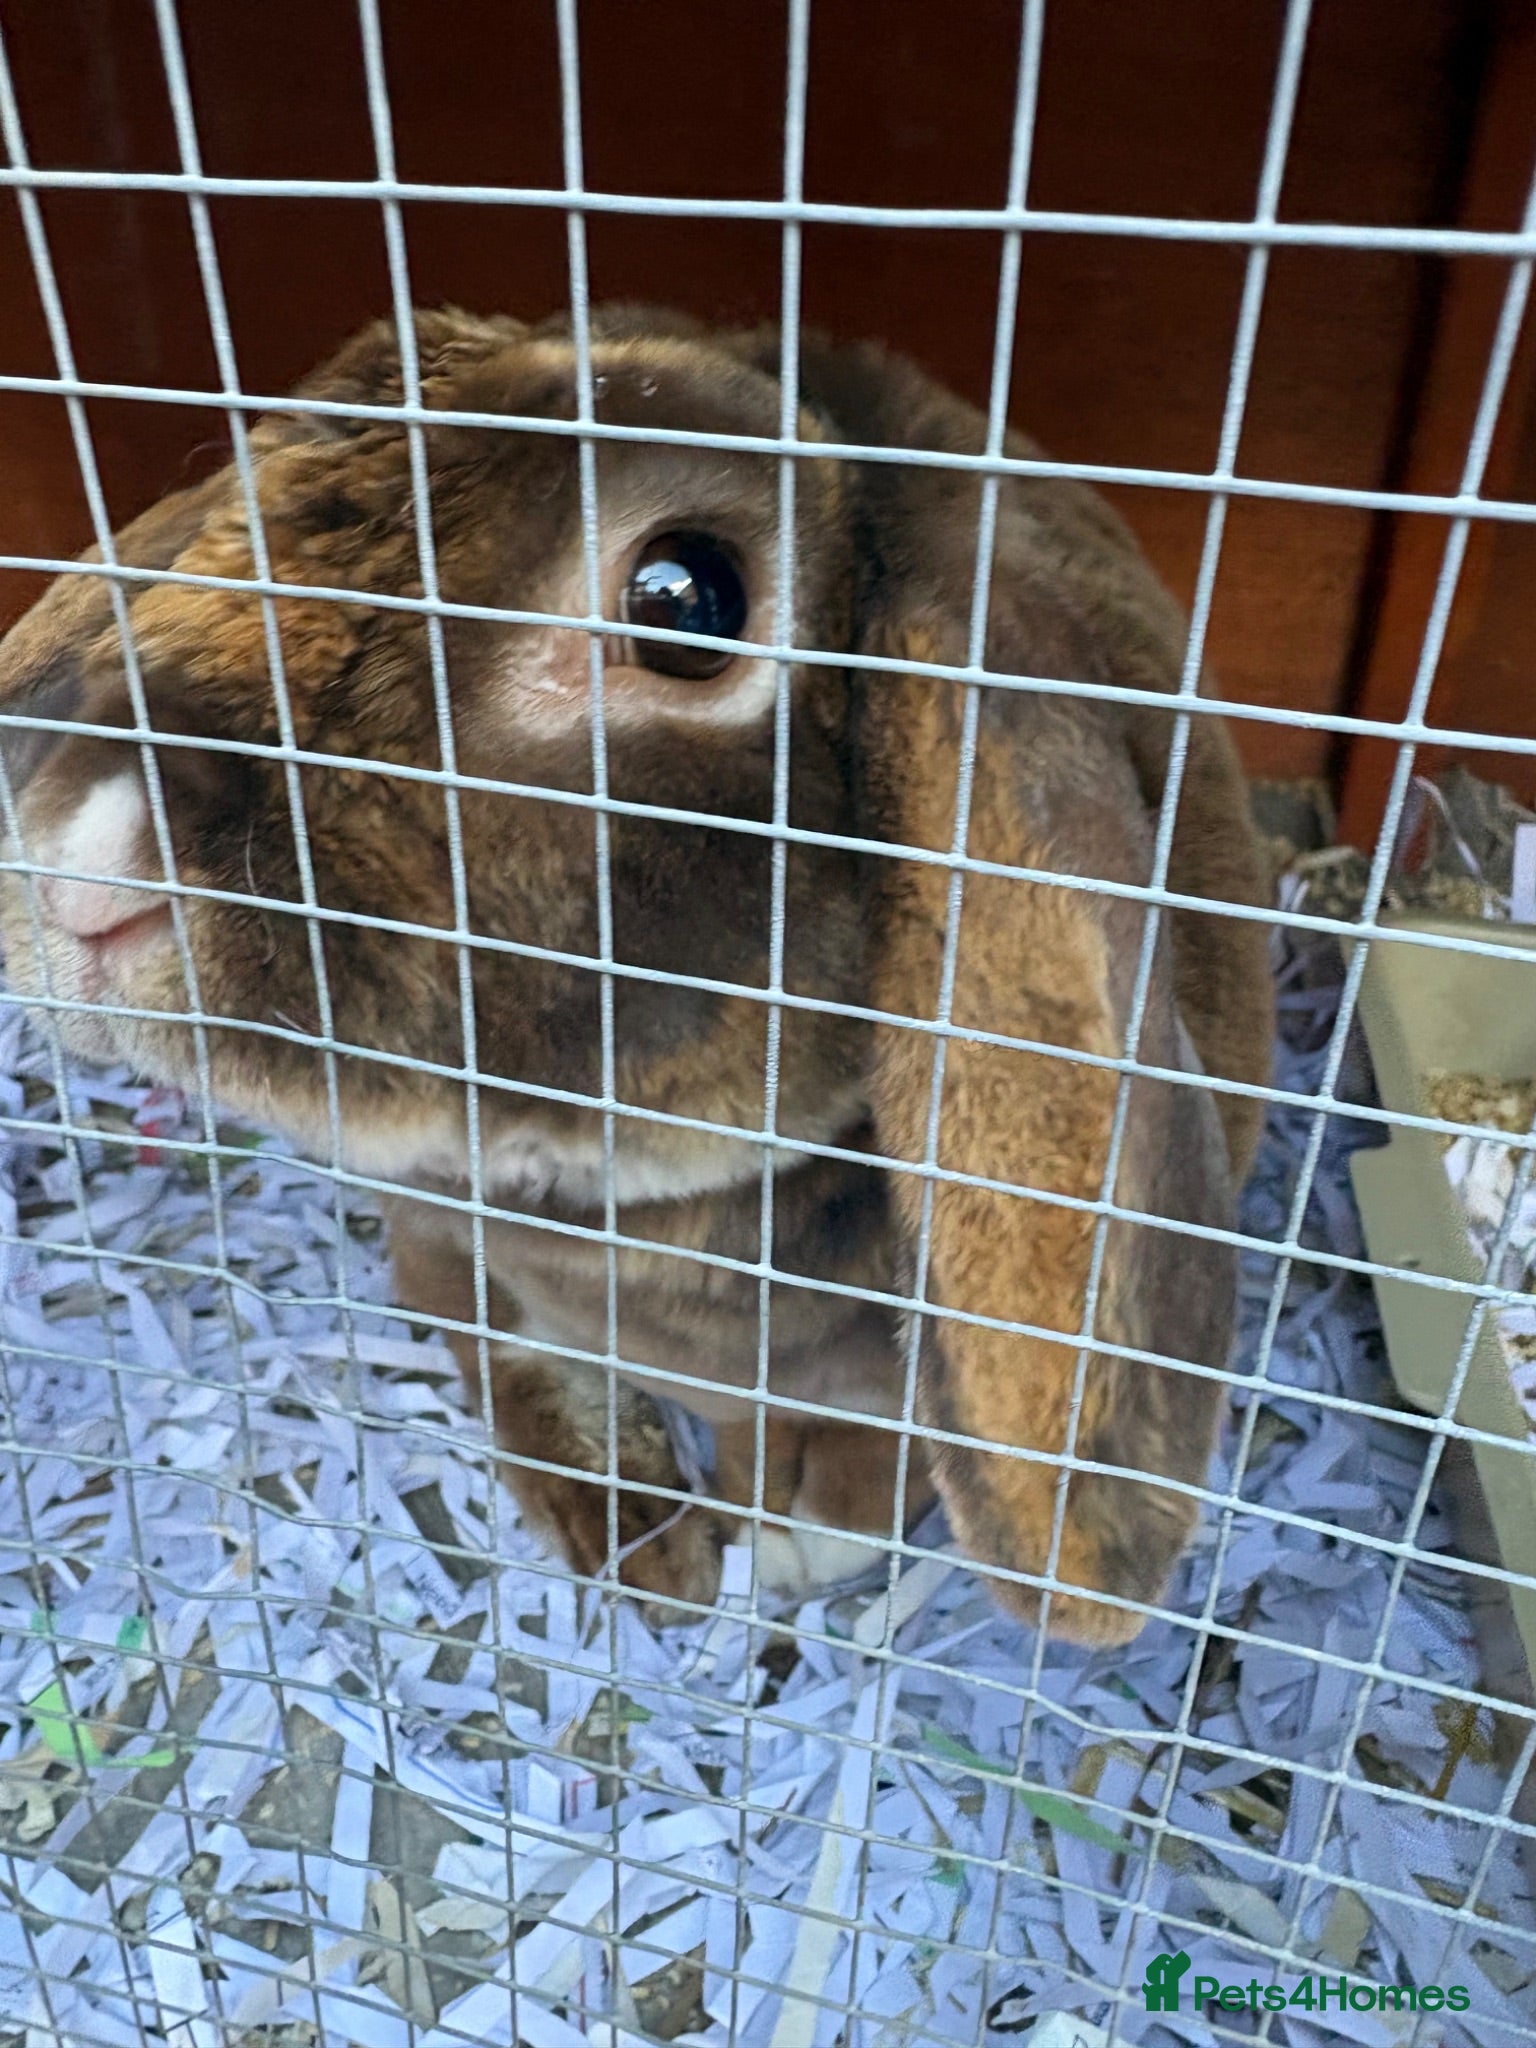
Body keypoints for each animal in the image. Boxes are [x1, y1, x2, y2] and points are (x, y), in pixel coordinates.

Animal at [0, 305, 1274, 1644]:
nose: (76, 862)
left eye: (684, 600)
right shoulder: (474, 1260)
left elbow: (868, 1446)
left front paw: (798, 1532)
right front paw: (646, 1541)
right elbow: (517, 1355)